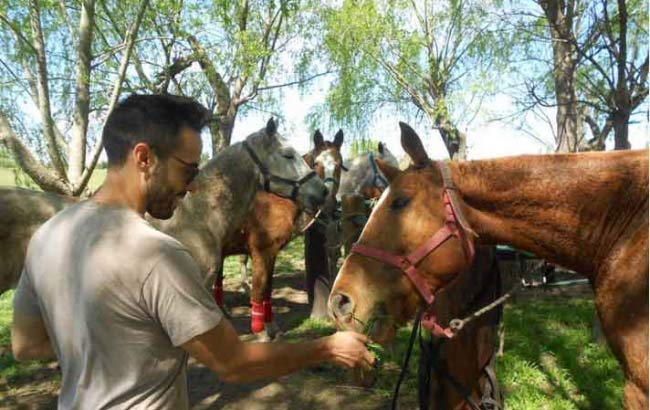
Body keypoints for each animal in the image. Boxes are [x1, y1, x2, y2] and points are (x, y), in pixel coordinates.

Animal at [213, 129, 344, 340]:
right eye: (316, 163)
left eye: (339, 164)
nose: (329, 204)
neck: (275, 200)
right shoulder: (260, 251)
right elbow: (259, 290)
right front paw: (261, 333)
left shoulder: (272, 252)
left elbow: (267, 289)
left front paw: (272, 327)